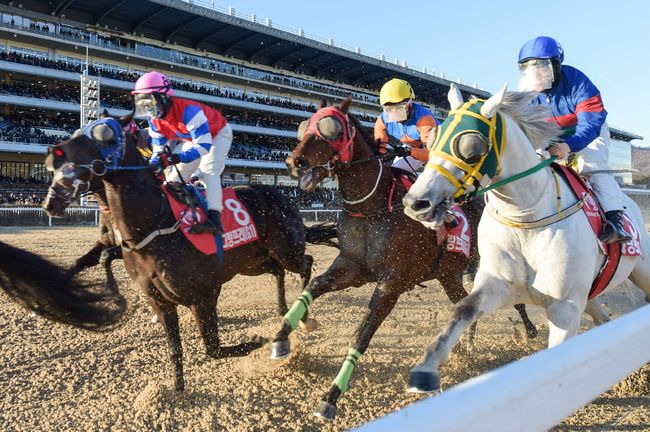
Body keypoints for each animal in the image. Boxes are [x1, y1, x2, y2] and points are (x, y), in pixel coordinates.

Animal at [43, 116, 330, 394]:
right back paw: (284, 309)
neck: (156, 223)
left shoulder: (203, 295)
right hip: (251, 261)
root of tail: (283, 198)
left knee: (306, 263)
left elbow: (213, 348)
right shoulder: (157, 295)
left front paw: (259, 340)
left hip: (286, 249)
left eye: (101, 136)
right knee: (278, 270)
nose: (50, 203)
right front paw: (177, 390)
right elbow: (175, 348)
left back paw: (304, 318)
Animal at [268, 97, 532, 418]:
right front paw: (282, 338)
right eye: (304, 127)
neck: (373, 207)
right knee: (465, 303)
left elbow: (361, 335)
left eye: (331, 128)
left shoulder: (391, 283)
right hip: (448, 274)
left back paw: (529, 332)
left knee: (513, 296)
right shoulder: (352, 267)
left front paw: (331, 396)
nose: (295, 163)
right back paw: (466, 347)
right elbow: (313, 287)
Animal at [400, 83, 648, 392]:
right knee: (601, 318)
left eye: (471, 148)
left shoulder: (564, 307)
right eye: (433, 140)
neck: (526, 220)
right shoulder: (498, 285)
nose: (416, 202)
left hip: (641, 270)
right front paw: (425, 370)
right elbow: (463, 309)